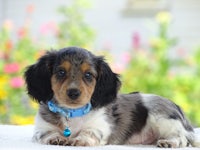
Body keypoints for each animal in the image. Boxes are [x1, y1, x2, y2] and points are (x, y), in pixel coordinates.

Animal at [25, 47, 200, 148]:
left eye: (88, 75)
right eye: (61, 72)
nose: (73, 93)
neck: (72, 113)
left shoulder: (101, 125)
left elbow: (89, 132)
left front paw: (80, 140)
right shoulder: (41, 128)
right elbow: (46, 134)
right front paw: (57, 138)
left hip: (165, 121)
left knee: (182, 139)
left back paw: (169, 142)